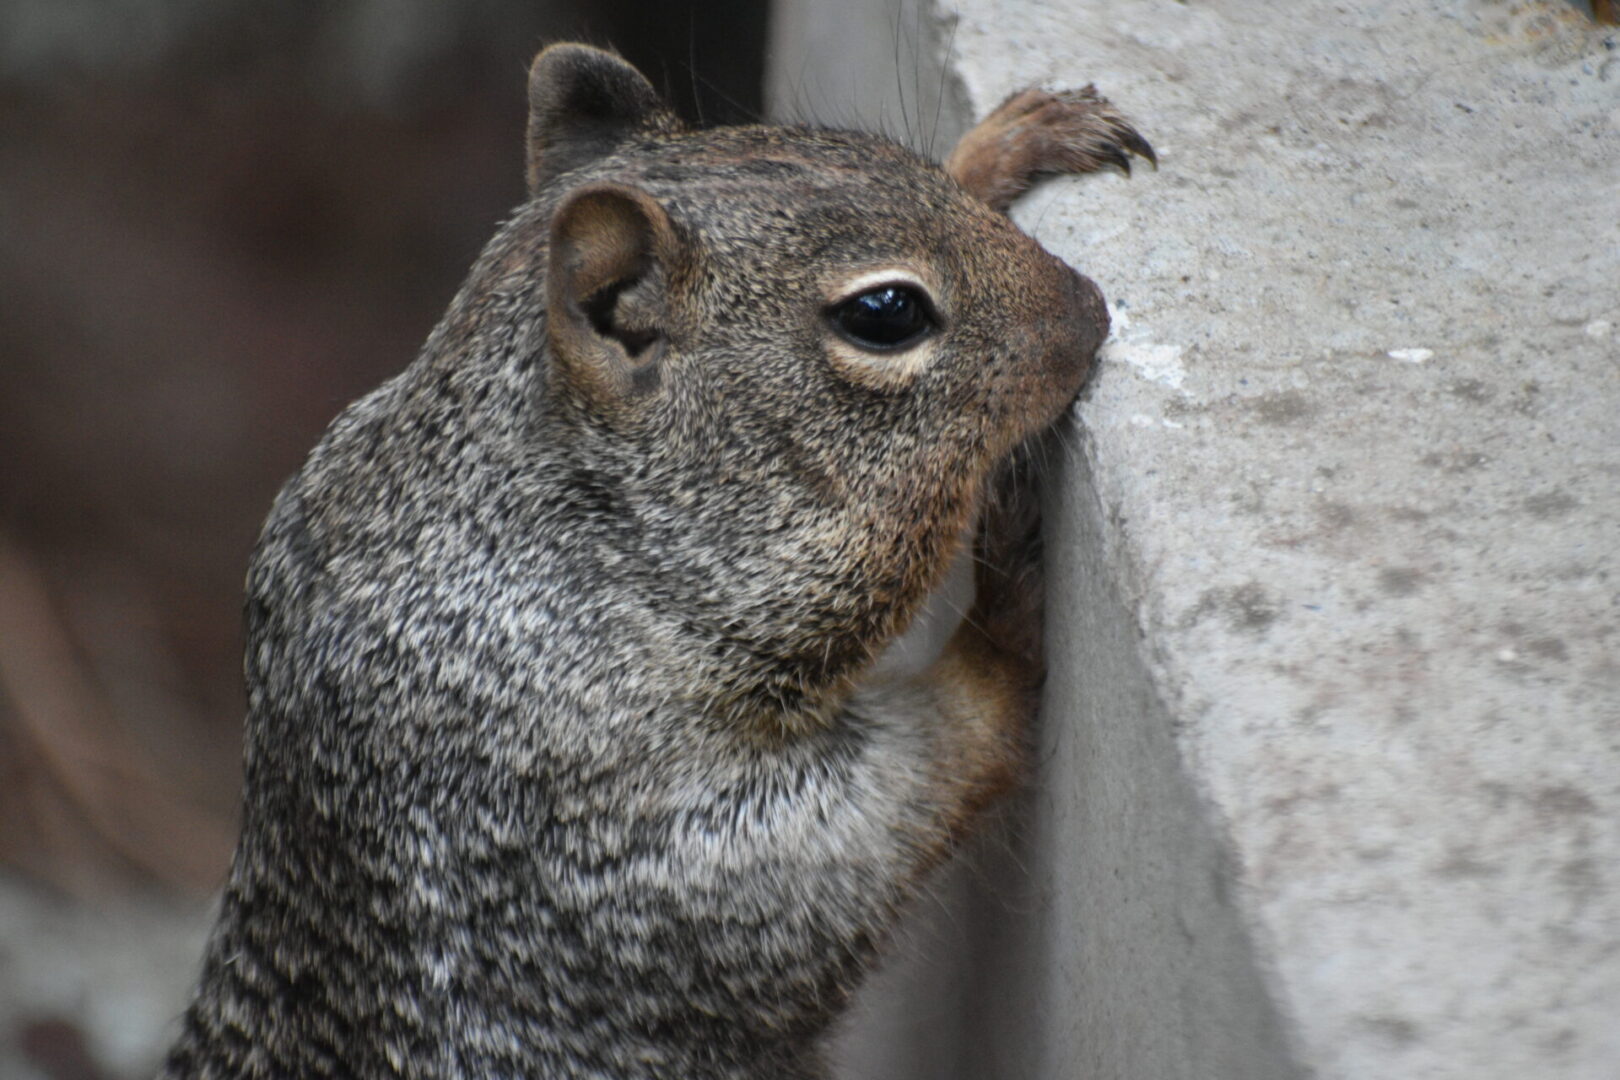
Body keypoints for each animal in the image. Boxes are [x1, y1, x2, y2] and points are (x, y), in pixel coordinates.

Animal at [157, 42, 1153, 1080]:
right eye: (885, 312)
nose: (1088, 310)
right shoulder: (653, 835)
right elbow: (909, 787)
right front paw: (1006, 607)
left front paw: (1008, 143)